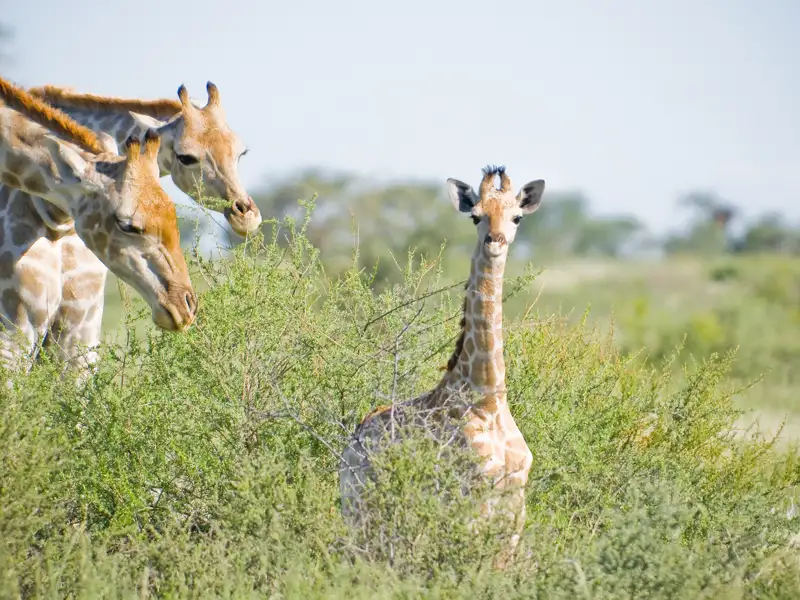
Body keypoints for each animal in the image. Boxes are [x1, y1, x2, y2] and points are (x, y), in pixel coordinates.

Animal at [339, 165, 545, 567]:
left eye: (517, 217)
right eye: (475, 216)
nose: (495, 242)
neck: (488, 398)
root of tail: (353, 438)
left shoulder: (515, 501)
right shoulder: (473, 497)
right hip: (358, 507)